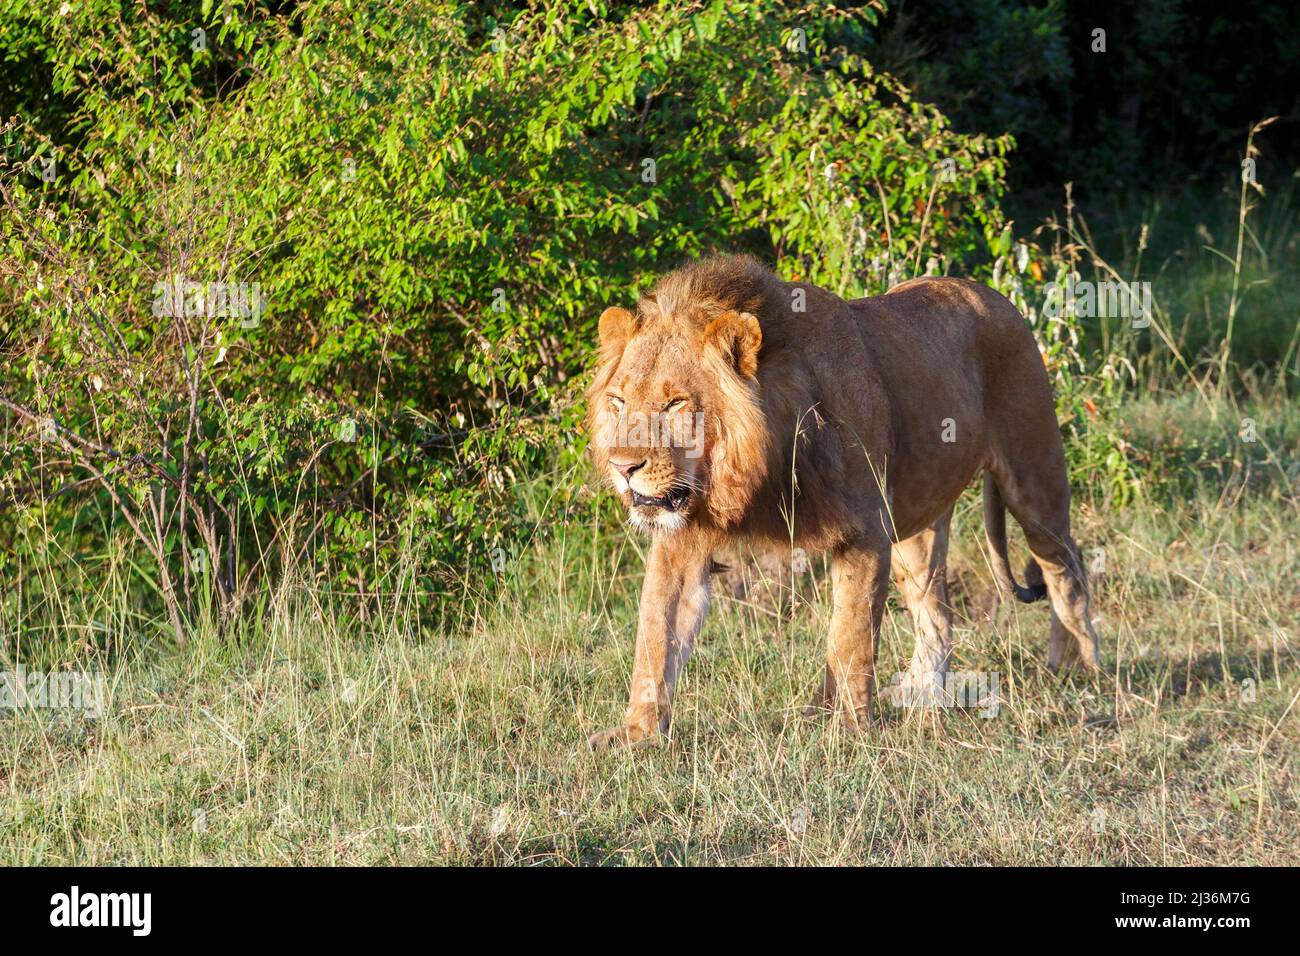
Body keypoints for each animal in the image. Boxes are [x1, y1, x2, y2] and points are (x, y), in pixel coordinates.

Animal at [585, 254, 1101, 750]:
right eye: (618, 401)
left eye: (675, 403)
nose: (623, 467)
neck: (754, 472)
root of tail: (993, 295)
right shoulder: (681, 539)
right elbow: (656, 635)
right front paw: (636, 734)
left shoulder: (865, 533)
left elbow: (850, 637)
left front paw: (848, 729)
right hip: (916, 524)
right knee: (937, 612)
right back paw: (922, 696)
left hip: (1033, 479)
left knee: (1066, 567)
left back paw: (1080, 668)